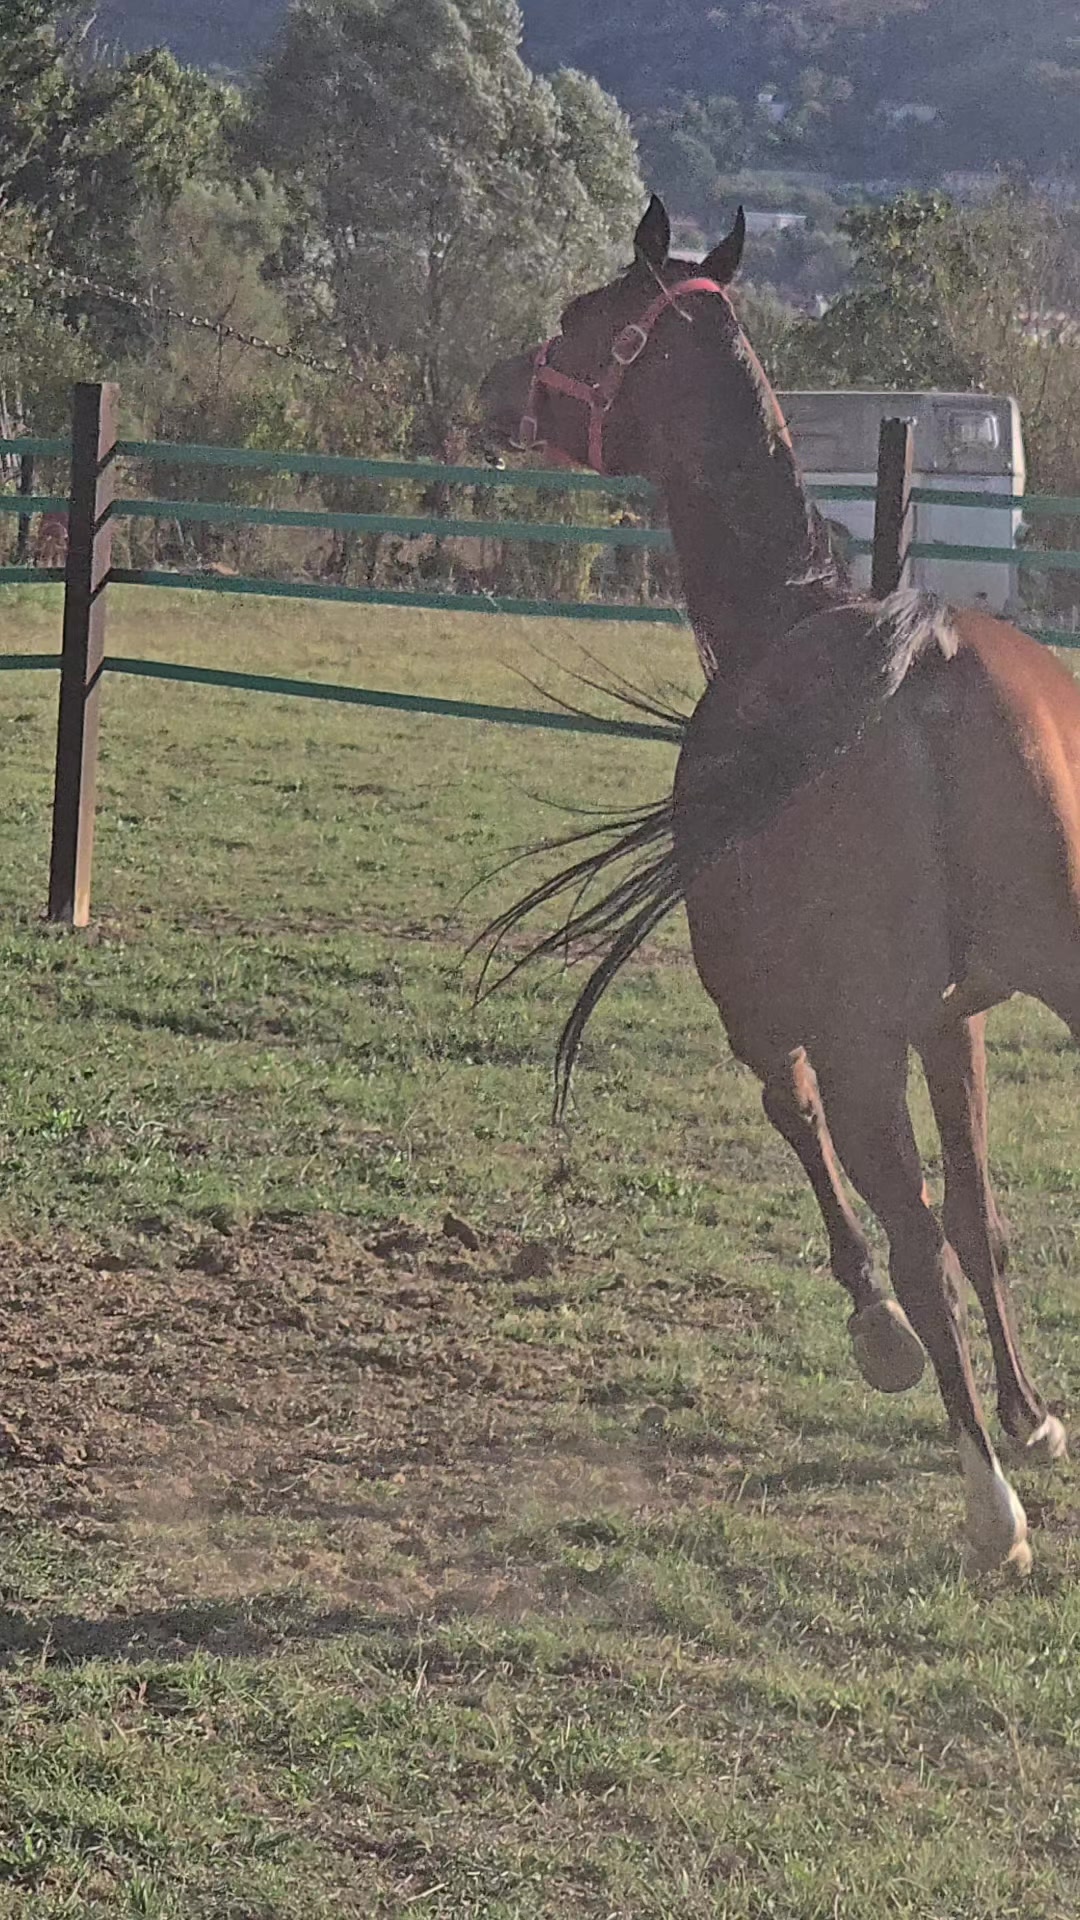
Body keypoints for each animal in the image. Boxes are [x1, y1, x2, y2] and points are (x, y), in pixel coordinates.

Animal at [477, 193, 1080, 1573]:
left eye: (585, 317)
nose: (491, 390)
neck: (786, 617)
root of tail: (922, 660)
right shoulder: (952, 1024)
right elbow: (985, 1216)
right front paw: (1032, 1413)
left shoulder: (774, 1022)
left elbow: (811, 1143)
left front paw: (883, 1344)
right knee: (950, 1227)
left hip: (856, 1046)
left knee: (909, 1242)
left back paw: (989, 1510)